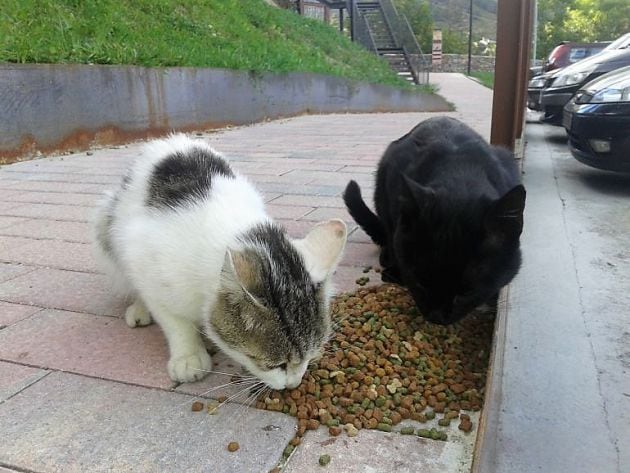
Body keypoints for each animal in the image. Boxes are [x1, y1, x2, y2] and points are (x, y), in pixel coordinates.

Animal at [95, 133, 346, 388]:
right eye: (277, 365)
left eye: (310, 355)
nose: (293, 384)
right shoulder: (144, 260)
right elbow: (174, 321)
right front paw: (188, 356)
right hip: (106, 224)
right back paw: (139, 309)